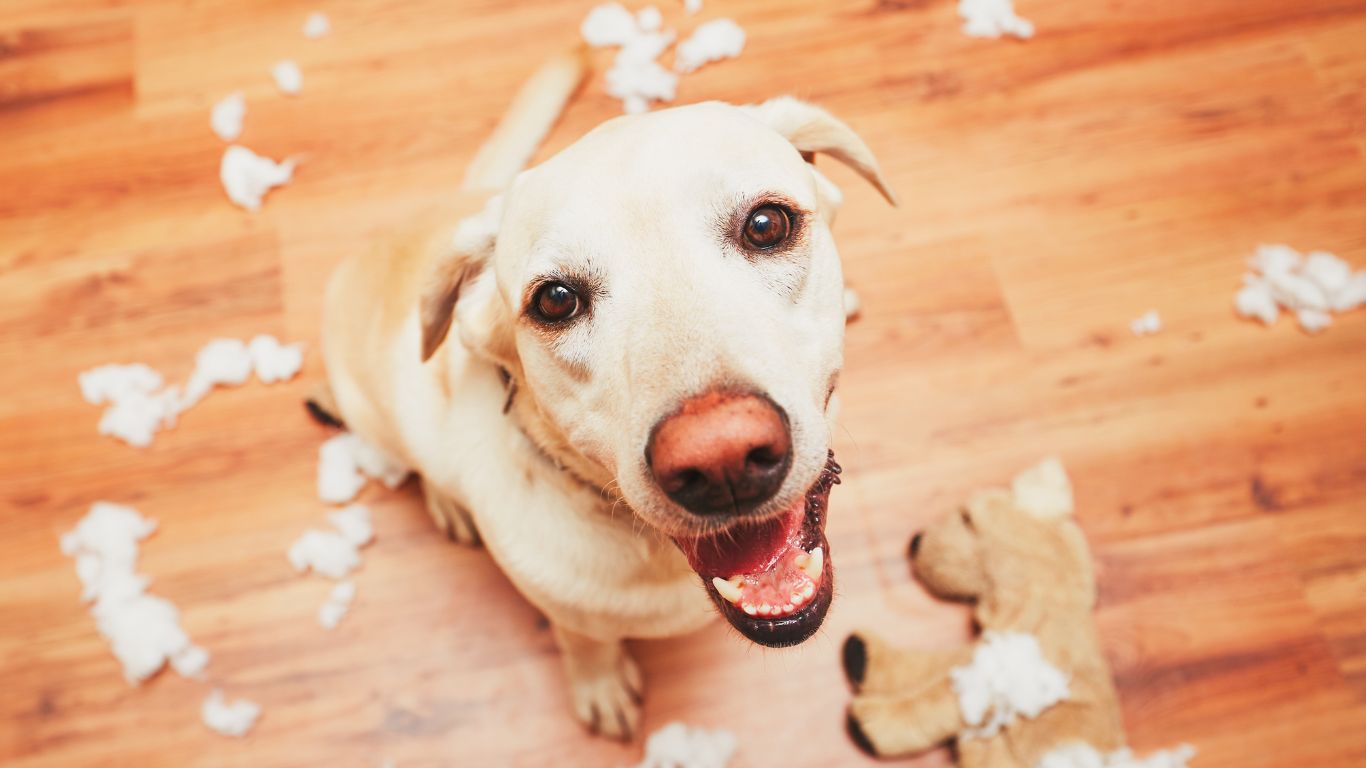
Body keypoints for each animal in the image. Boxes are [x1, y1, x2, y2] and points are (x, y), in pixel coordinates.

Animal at [315, 46, 901, 737]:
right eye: (555, 300)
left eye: (765, 223)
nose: (722, 460)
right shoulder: (567, 611)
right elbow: (585, 642)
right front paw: (599, 683)